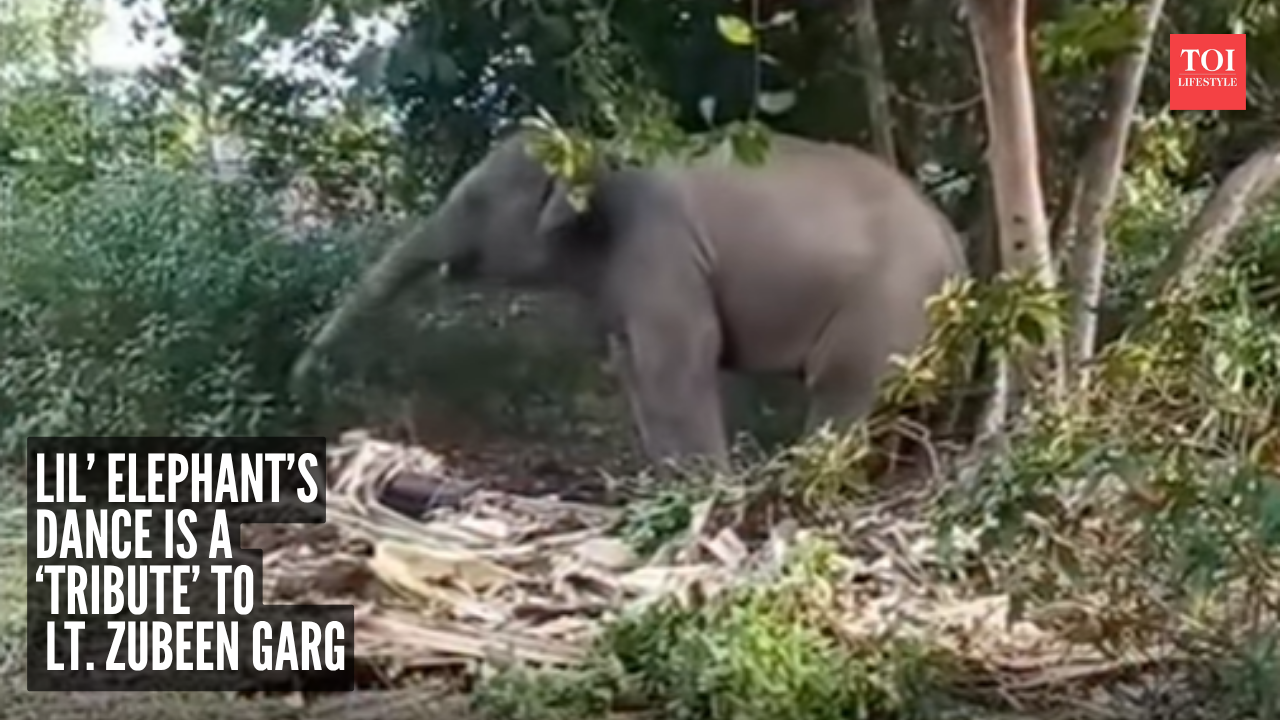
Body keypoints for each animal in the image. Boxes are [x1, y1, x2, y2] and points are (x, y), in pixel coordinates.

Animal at [292, 128, 968, 472]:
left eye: (476, 201)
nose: (302, 378)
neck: (598, 151)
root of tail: (956, 247)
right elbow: (633, 368)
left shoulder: (660, 249)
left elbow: (682, 359)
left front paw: (704, 492)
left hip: (885, 305)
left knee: (842, 389)